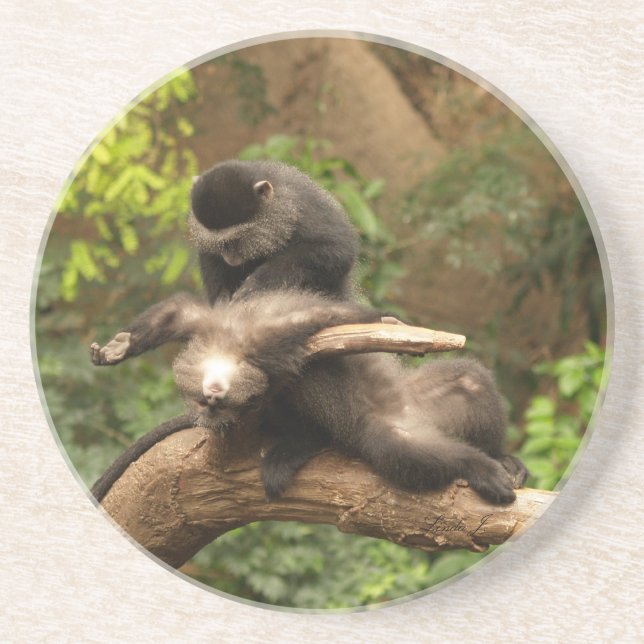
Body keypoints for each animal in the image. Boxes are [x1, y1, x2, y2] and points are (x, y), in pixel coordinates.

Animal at [90, 290, 528, 504]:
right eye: (204, 405)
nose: (212, 404)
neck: (228, 342)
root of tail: (416, 417)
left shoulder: (250, 332)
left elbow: (339, 316)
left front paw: (119, 346)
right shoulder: (263, 354)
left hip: (426, 399)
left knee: (470, 379)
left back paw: (499, 458)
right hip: (388, 429)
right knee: (402, 450)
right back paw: (478, 465)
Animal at [189, 159, 359, 303]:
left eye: (237, 239)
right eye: (220, 243)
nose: (229, 257)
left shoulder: (305, 209)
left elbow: (337, 249)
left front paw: (258, 283)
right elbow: (210, 255)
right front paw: (221, 297)